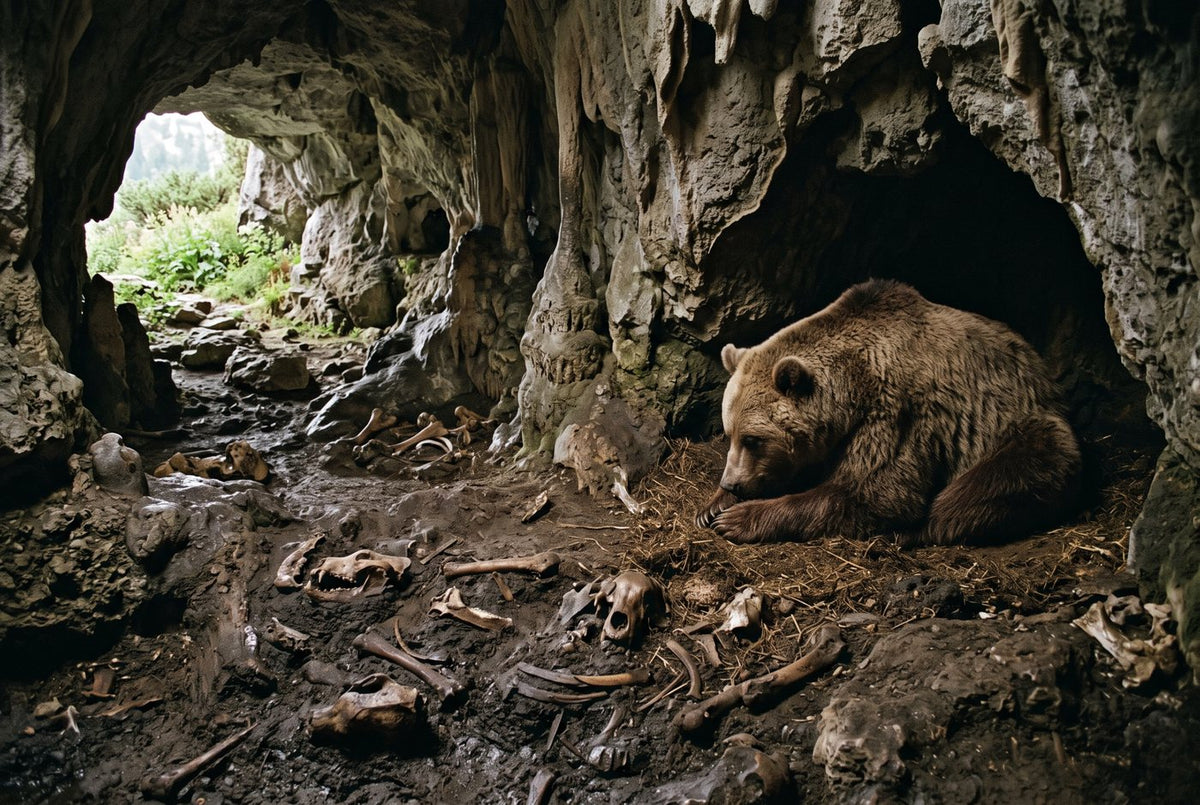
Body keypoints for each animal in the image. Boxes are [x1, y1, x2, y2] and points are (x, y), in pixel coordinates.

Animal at [696, 279, 1081, 546]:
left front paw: (737, 518)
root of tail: (1040, 369)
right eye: (730, 434)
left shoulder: (898, 414)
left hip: (1019, 423)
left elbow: (876, 492)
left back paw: (917, 530)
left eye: (753, 439)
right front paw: (712, 507)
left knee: (998, 477)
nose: (731, 482)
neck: (853, 386)